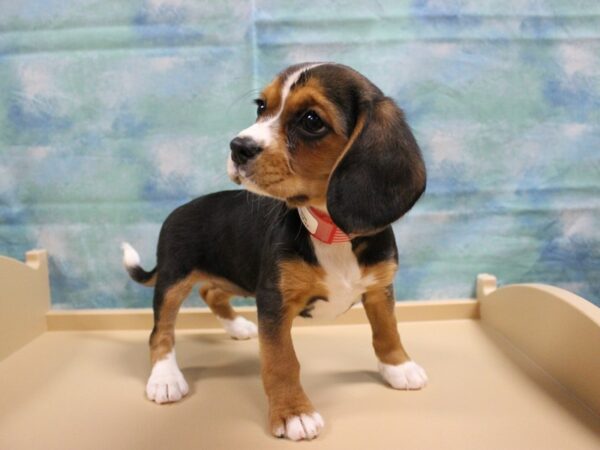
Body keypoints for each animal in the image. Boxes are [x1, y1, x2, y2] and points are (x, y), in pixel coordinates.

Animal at [123, 61, 426, 442]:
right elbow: (282, 362)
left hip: (233, 275)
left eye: (311, 120)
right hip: (172, 279)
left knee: (210, 292)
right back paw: (165, 379)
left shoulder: (379, 289)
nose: (237, 146)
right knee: (160, 331)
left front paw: (399, 365)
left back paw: (237, 327)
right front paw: (294, 413)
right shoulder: (273, 300)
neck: (331, 231)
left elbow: (387, 329)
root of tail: (180, 210)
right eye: (261, 107)